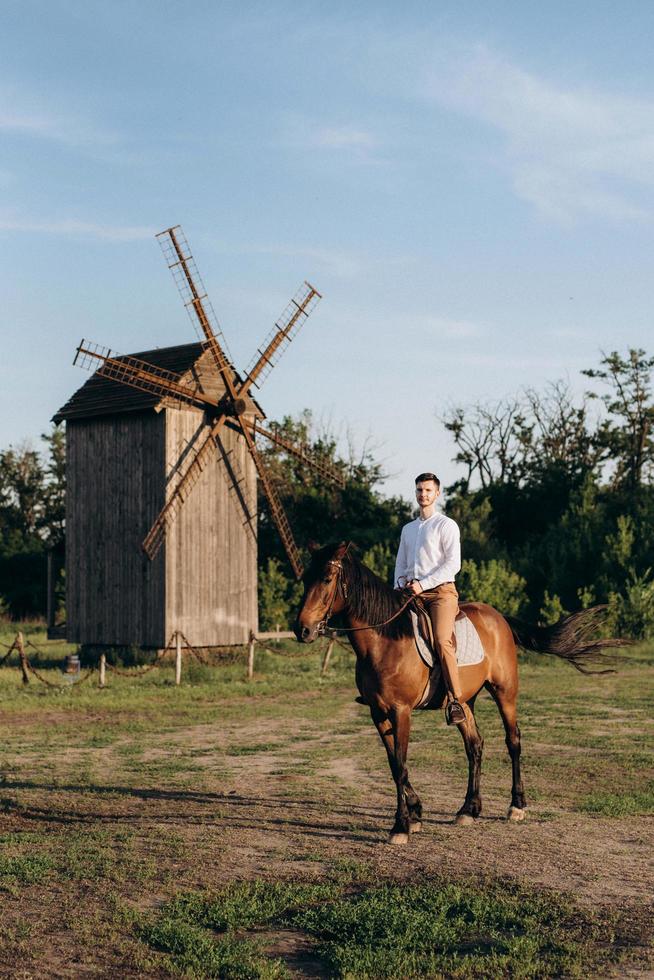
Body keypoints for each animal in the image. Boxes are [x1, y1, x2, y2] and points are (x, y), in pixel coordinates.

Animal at [294, 544, 624, 844]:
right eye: (305, 578)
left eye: (326, 578)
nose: (302, 630)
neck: (385, 641)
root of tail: (498, 617)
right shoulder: (378, 713)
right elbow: (394, 765)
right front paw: (416, 813)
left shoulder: (401, 711)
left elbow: (400, 765)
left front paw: (401, 827)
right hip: (464, 702)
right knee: (474, 745)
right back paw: (469, 809)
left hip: (505, 692)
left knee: (513, 741)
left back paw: (516, 806)